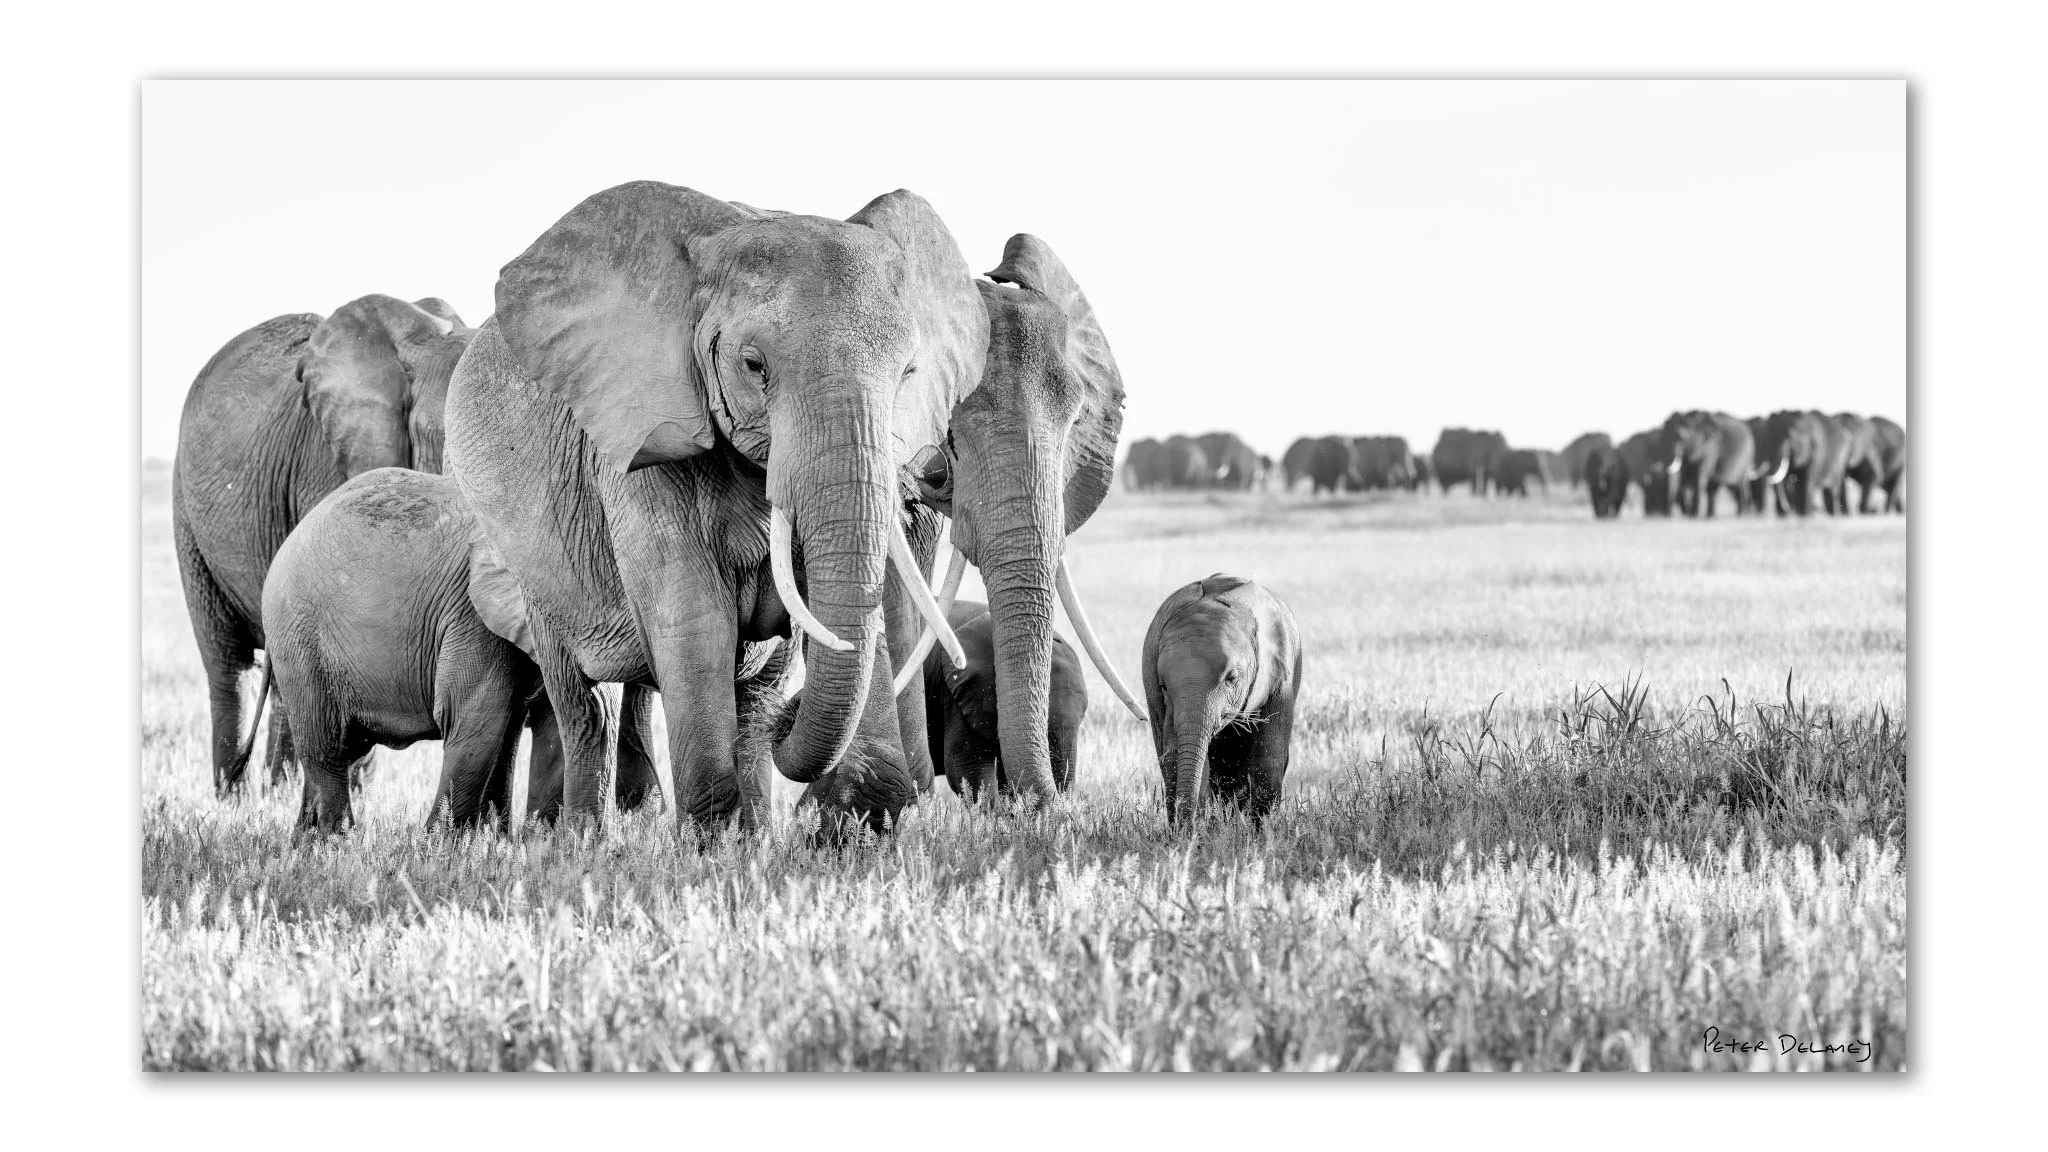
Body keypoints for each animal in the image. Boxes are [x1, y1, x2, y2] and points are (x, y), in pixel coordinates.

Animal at [1142, 574, 1302, 826]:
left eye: (1232, 678)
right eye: (1163, 686)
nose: (1186, 829)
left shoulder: (1279, 679)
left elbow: (1267, 761)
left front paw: (1261, 831)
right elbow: (1176, 756)